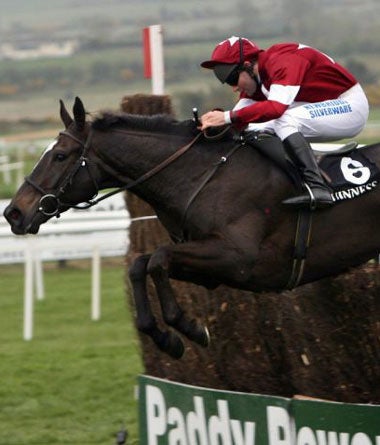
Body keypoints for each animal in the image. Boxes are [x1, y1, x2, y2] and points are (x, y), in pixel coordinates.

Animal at [3, 96, 380, 358]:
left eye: (60, 155)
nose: (13, 213)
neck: (201, 174)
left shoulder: (240, 259)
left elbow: (157, 260)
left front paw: (190, 327)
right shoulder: (211, 270)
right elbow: (141, 265)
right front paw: (166, 338)